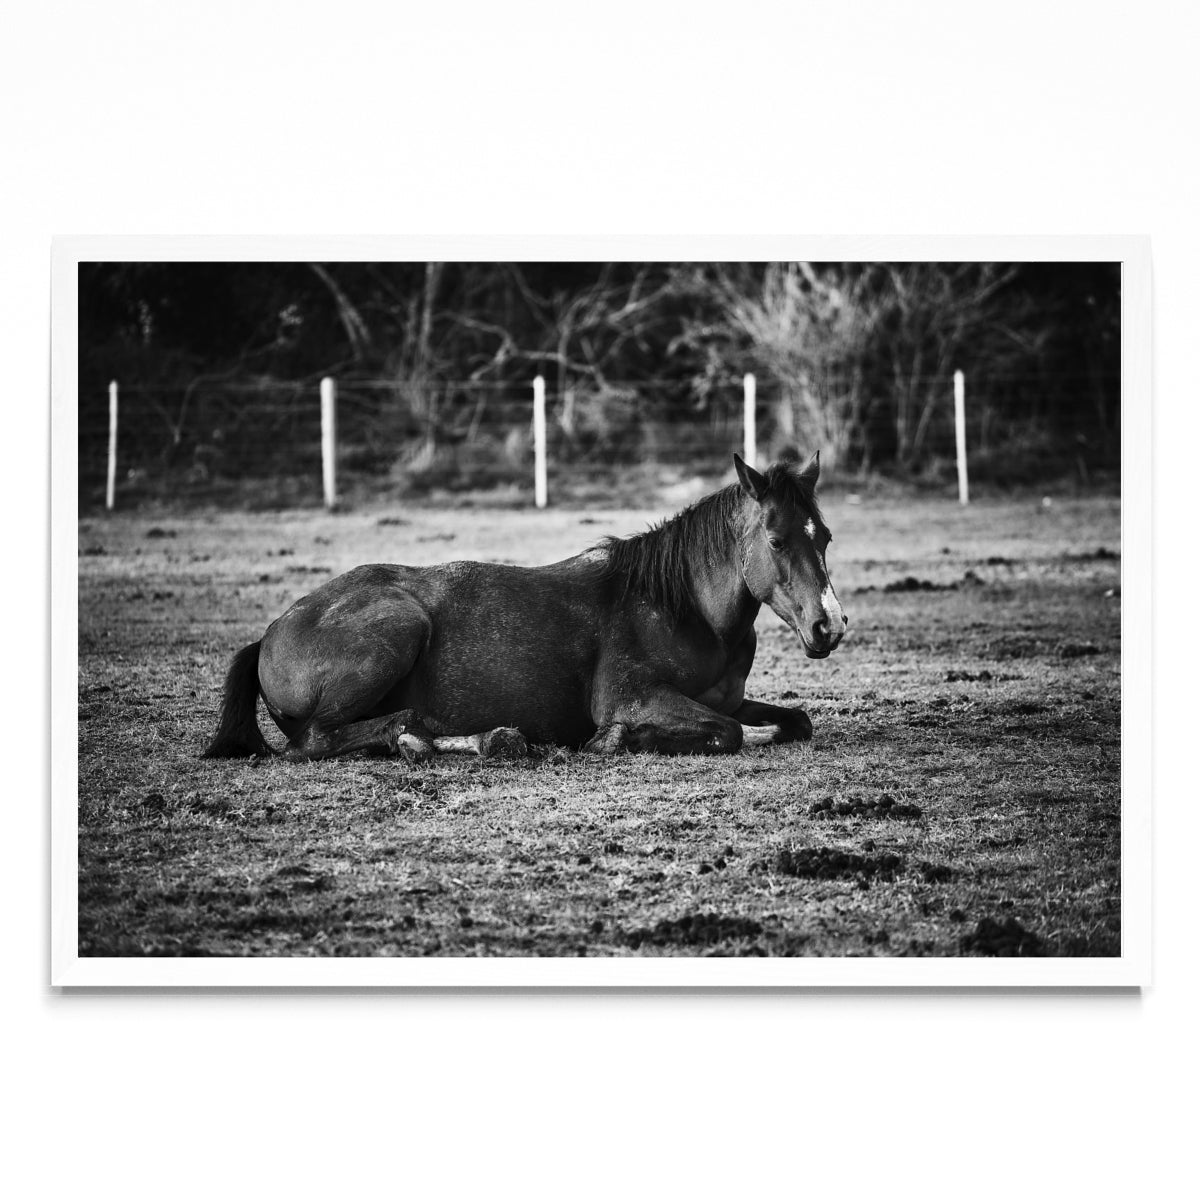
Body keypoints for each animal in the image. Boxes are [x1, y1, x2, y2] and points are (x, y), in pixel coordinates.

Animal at [202, 451, 848, 762]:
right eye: (776, 540)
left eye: (824, 536)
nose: (830, 626)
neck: (683, 610)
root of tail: (271, 632)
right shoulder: (632, 697)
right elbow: (727, 733)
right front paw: (615, 740)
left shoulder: (730, 699)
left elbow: (793, 720)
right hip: (398, 627)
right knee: (316, 740)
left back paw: (476, 741)